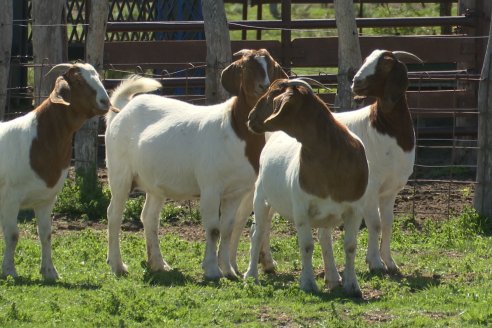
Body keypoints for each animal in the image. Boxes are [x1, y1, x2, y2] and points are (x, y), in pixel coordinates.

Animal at [0, 62, 112, 280]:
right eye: (78, 81)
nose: (106, 101)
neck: (39, 138)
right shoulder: (10, 198)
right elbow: (13, 235)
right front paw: (9, 271)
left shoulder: (46, 199)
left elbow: (46, 234)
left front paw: (50, 271)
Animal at [105, 48, 286, 280]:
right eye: (246, 67)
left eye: (271, 66)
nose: (263, 86)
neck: (235, 129)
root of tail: (122, 108)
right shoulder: (210, 186)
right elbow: (213, 229)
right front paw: (212, 270)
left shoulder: (235, 191)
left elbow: (227, 228)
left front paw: (228, 270)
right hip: (119, 173)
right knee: (114, 214)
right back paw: (118, 265)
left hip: (154, 183)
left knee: (149, 217)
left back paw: (159, 263)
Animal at [244, 79, 368, 298]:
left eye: (272, 93)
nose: (250, 118)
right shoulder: (301, 209)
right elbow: (307, 246)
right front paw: (308, 283)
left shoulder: (355, 209)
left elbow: (350, 246)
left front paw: (352, 285)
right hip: (261, 197)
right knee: (257, 232)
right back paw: (251, 275)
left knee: (324, 238)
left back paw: (332, 277)